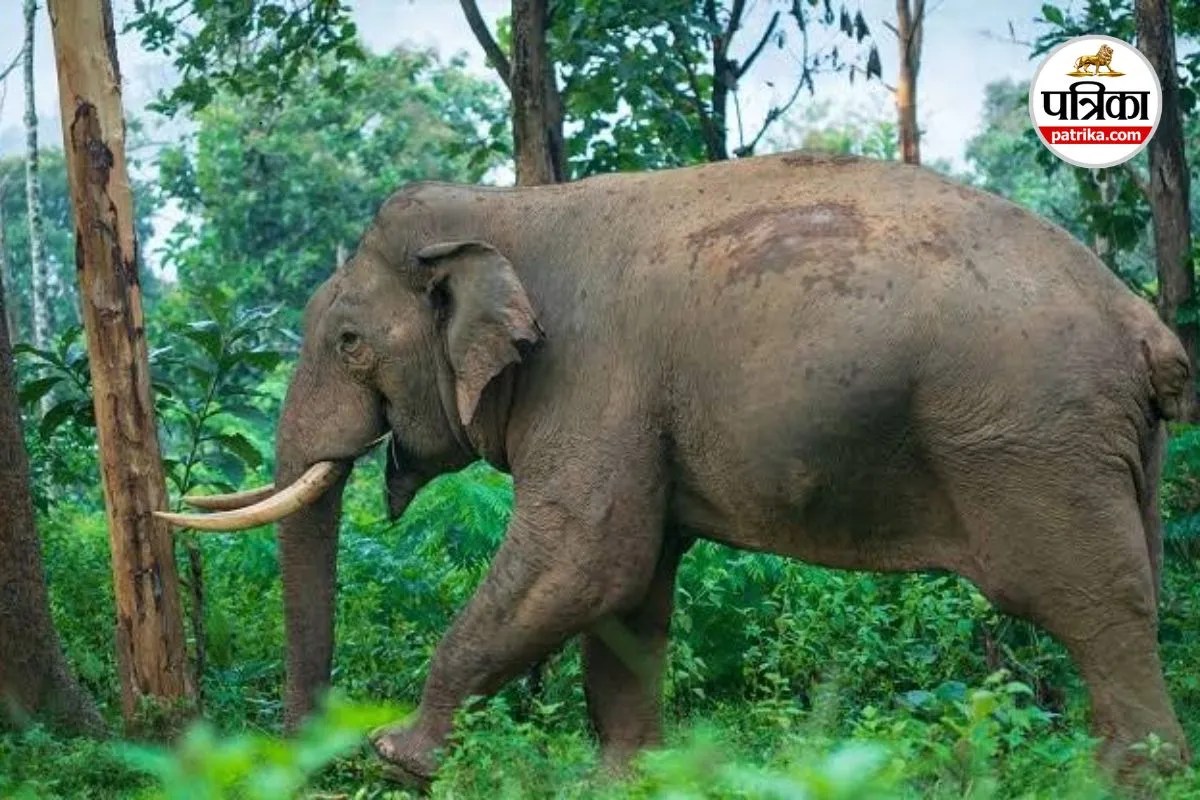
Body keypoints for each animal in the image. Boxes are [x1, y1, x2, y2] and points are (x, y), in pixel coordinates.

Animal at [159, 151, 1192, 786]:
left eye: (348, 343)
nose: (306, 759)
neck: (508, 209)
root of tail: (1146, 327)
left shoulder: (593, 376)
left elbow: (583, 559)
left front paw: (398, 757)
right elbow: (630, 587)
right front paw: (626, 779)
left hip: (1030, 440)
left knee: (1093, 601)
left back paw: (1128, 780)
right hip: (1104, 445)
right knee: (1129, 584)